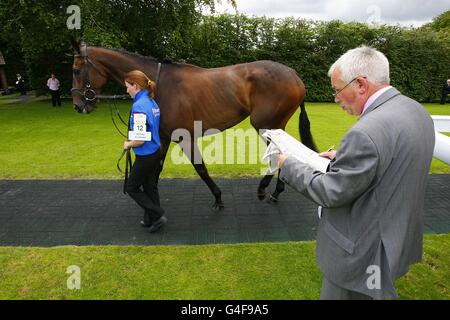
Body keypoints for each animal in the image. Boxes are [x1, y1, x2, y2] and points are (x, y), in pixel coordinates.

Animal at [71, 40, 316, 210]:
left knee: (278, 153)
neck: (157, 83)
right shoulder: (164, 136)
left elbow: (200, 168)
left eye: (75, 70)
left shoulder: (184, 137)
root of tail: (294, 74)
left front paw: (218, 197)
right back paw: (276, 191)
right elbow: (156, 169)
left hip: (264, 124)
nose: (77, 104)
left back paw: (264, 189)